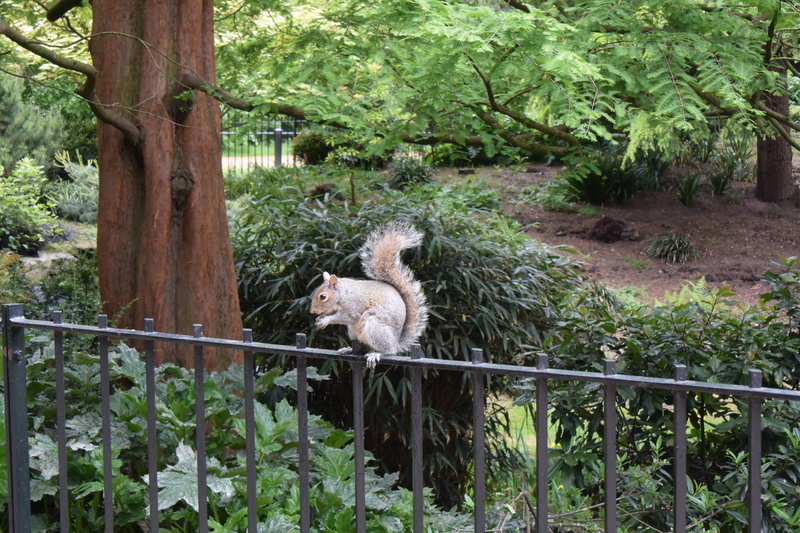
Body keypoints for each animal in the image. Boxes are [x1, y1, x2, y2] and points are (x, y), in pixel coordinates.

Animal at [310, 222, 429, 368]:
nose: (312, 311)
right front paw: (319, 318)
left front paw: (326, 320)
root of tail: (396, 341)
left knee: (387, 350)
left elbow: (348, 317)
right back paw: (349, 349)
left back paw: (377, 354)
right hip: (354, 332)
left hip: (376, 327)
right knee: (364, 348)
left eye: (323, 296)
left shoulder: (354, 306)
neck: (344, 294)